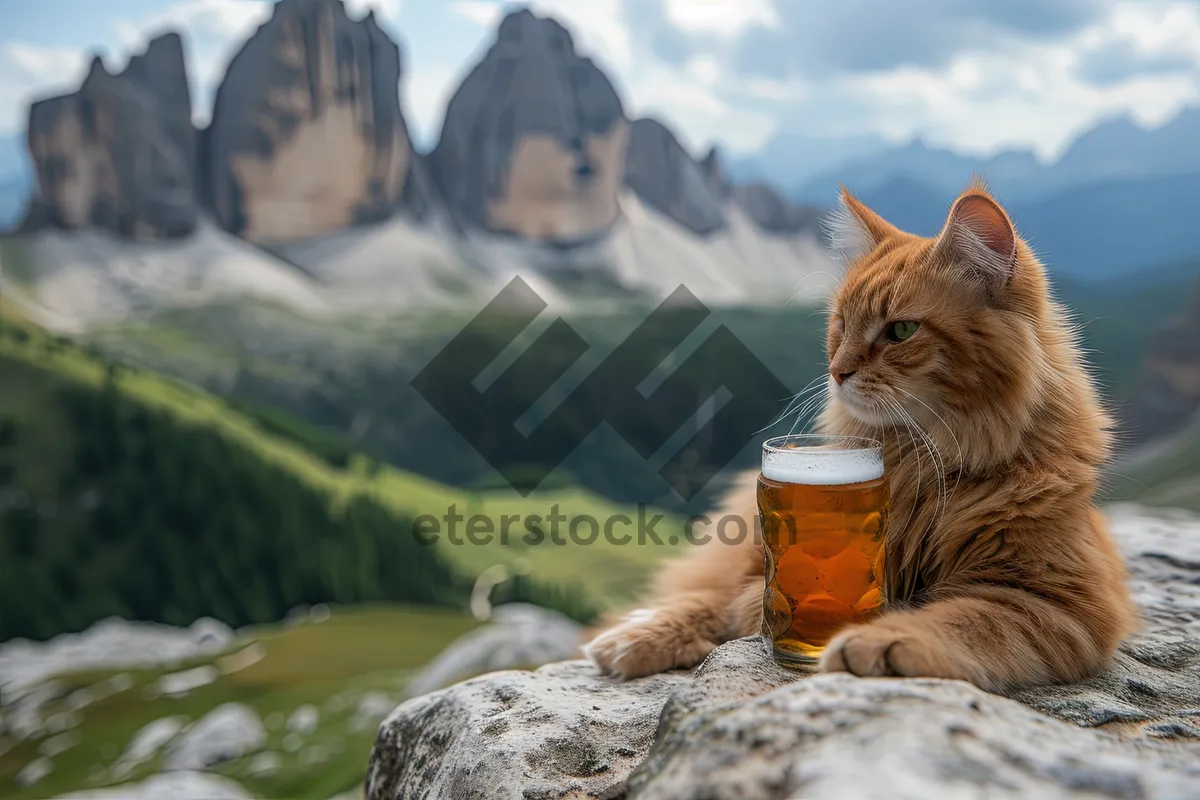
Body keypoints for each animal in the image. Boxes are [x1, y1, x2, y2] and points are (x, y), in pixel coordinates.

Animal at [580, 181, 1132, 695]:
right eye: (841, 325)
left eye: (901, 331)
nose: (837, 371)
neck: (921, 461)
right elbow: (735, 600)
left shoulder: (1057, 600)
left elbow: (965, 618)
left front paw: (880, 639)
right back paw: (637, 635)